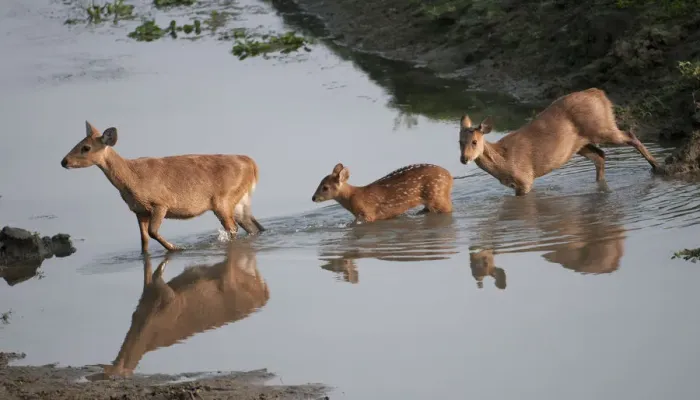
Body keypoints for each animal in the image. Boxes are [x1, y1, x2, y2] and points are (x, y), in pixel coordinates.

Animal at [60, 121, 265, 253]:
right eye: (77, 143)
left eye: (86, 148)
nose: (64, 161)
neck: (132, 180)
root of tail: (252, 164)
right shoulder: (139, 211)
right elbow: (144, 239)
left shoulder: (160, 203)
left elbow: (153, 232)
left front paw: (176, 248)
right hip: (239, 201)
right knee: (254, 226)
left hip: (223, 199)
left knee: (233, 228)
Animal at [457, 88, 661, 196]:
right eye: (459, 141)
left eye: (474, 141)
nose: (464, 159)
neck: (504, 160)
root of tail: (599, 94)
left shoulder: (525, 179)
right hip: (580, 145)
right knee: (600, 156)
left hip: (603, 127)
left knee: (630, 135)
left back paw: (658, 167)